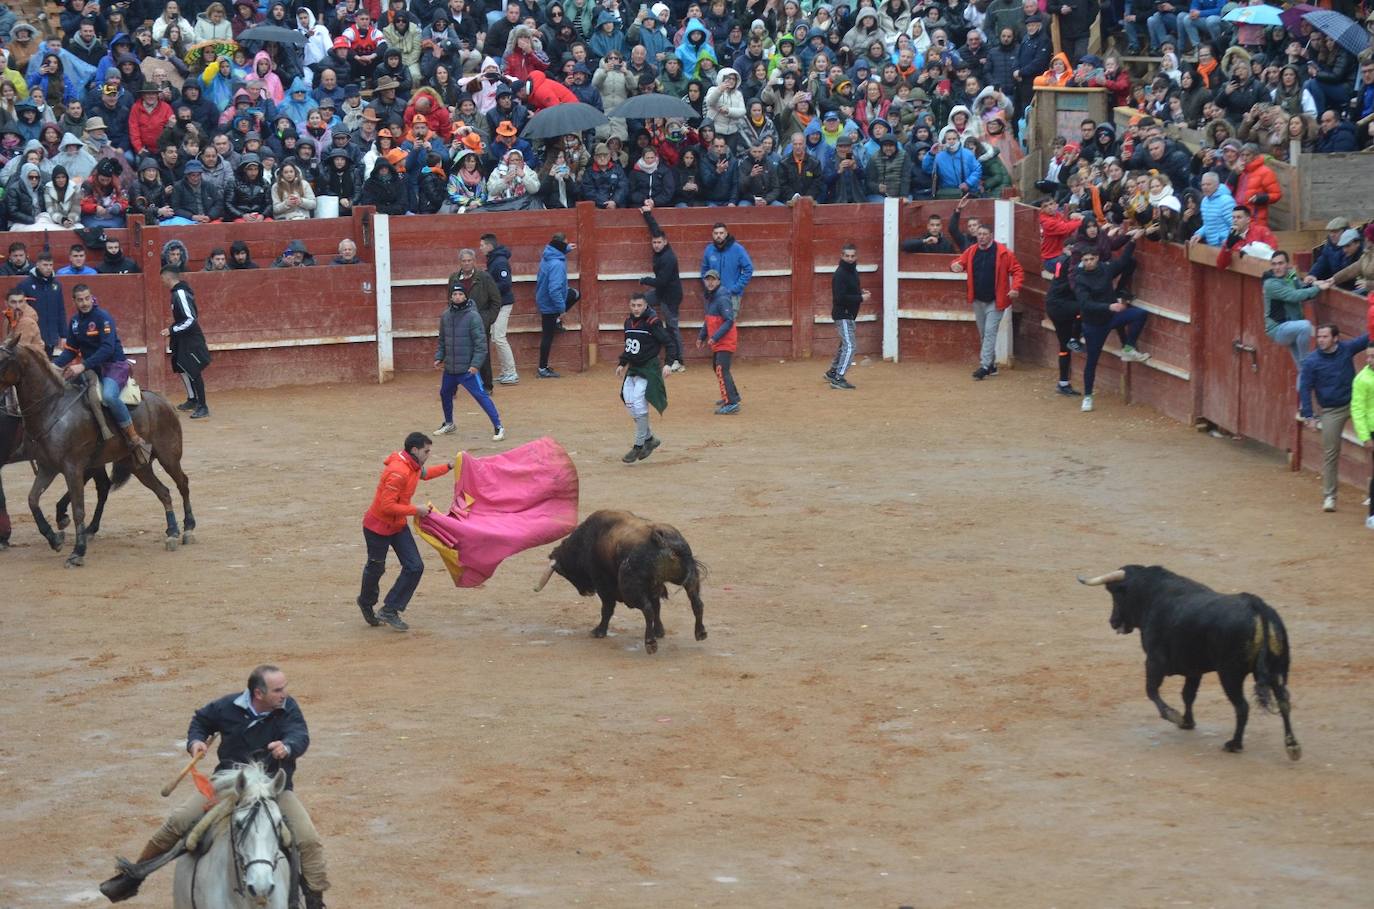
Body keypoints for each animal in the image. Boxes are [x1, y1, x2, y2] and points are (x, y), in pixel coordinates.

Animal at [0, 336, 196, 562]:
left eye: (3, 360)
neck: (52, 407)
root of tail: (164, 402)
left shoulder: (72, 468)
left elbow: (78, 509)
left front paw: (77, 552)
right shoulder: (47, 467)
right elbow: (32, 500)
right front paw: (54, 539)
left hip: (168, 456)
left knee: (182, 483)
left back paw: (188, 528)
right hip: (139, 466)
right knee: (163, 492)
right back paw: (172, 532)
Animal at [530, 513, 708, 656]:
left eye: (566, 573)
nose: (586, 592)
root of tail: (660, 540)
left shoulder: (603, 585)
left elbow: (607, 609)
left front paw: (599, 632)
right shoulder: (654, 587)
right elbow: (657, 607)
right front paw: (660, 632)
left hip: (631, 590)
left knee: (647, 609)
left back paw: (650, 643)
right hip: (690, 577)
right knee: (696, 602)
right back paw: (700, 633)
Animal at [1082, 565, 1297, 763]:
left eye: (1117, 596)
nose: (1112, 621)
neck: (1151, 594)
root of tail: (1258, 607)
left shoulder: (1154, 661)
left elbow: (1151, 690)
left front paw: (1174, 716)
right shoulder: (1194, 670)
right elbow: (1188, 694)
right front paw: (1187, 722)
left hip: (1230, 675)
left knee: (1242, 706)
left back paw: (1234, 744)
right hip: (1277, 669)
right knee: (1284, 702)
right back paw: (1292, 746)